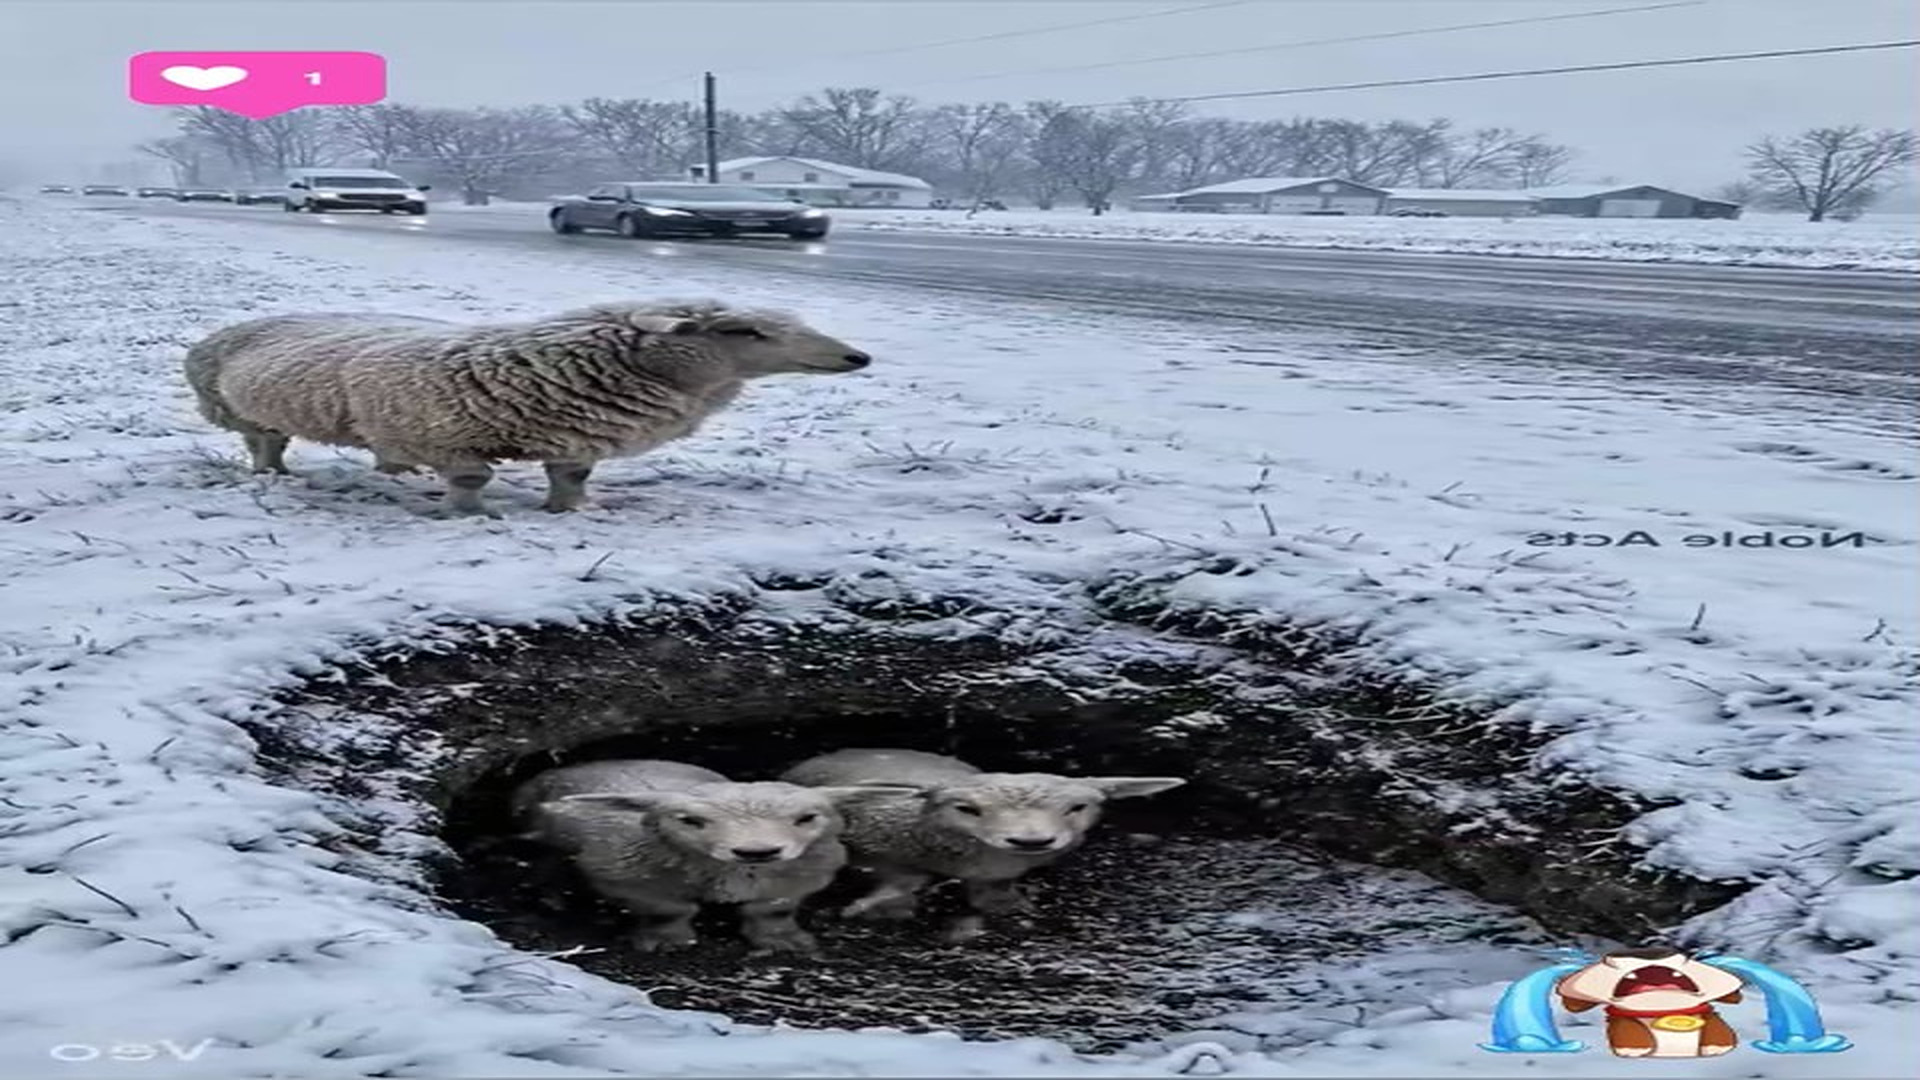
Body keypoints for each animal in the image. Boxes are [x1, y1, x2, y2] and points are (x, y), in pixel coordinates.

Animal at [182, 299, 872, 516]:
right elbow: (472, 479)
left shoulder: (576, 436)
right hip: (243, 412)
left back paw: (393, 471)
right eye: (744, 332)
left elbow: (572, 477)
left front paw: (570, 512)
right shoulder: (447, 438)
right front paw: (470, 518)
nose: (857, 358)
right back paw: (273, 475)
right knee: (266, 443)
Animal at [513, 758, 915, 954]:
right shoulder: (627, 877)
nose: (758, 850)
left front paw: (782, 941)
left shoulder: (795, 878)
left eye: (806, 818)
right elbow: (669, 909)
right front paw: (667, 941)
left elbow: (772, 910)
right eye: (690, 821)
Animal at [778, 748, 1186, 941]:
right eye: (966, 809)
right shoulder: (875, 850)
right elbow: (902, 881)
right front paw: (875, 907)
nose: (1031, 840)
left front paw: (1010, 906)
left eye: (1077, 807)